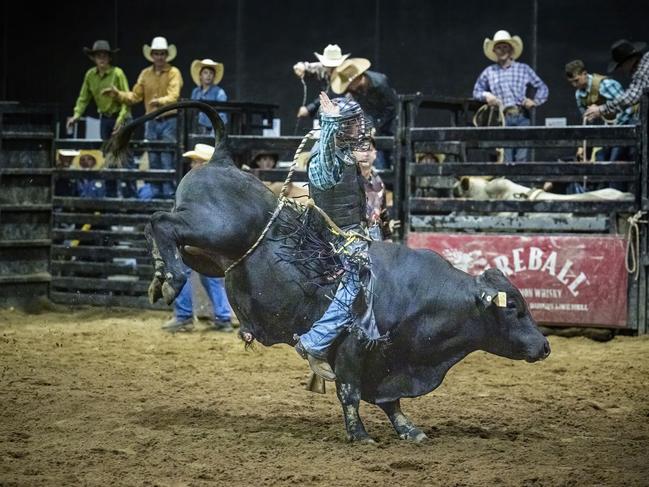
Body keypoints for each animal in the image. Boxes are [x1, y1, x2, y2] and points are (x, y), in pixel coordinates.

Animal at [109, 102, 548, 442]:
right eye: (514, 310)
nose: (544, 346)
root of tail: (220, 160)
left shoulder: (390, 361)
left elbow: (391, 401)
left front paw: (409, 429)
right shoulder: (354, 348)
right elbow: (350, 393)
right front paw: (360, 435)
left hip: (207, 251)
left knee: (168, 233)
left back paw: (161, 275)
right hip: (213, 227)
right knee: (161, 221)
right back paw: (170, 278)